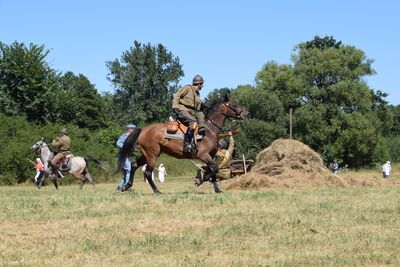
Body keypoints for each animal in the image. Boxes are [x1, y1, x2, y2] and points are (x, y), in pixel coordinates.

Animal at [117, 95, 248, 194]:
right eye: (234, 105)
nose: (246, 113)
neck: (209, 130)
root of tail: (143, 130)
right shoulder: (203, 155)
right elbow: (214, 169)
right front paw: (200, 181)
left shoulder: (211, 156)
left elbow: (214, 171)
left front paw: (217, 190)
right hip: (152, 156)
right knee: (148, 173)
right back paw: (156, 190)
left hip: (146, 155)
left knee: (134, 165)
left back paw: (126, 186)